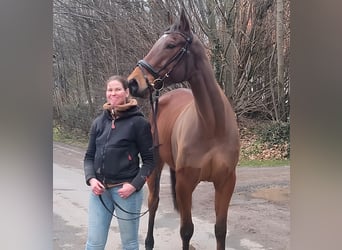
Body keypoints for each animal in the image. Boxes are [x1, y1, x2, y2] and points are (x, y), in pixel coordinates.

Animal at [127, 9, 239, 250]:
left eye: (170, 45)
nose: (133, 82)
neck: (212, 126)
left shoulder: (226, 183)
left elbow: (220, 229)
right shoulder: (185, 183)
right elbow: (186, 230)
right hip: (155, 167)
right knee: (154, 202)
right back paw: (149, 243)